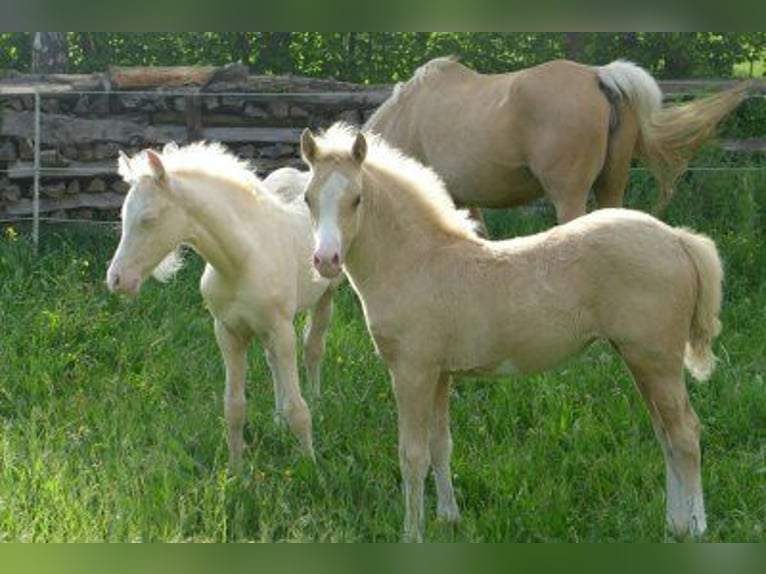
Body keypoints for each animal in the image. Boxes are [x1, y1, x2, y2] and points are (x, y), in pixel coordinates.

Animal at [106, 143, 340, 468]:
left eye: (148, 218)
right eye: (123, 215)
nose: (116, 280)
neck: (241, 260)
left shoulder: (280, 329)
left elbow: (299, 409)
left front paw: (310, 465)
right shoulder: (228, 332)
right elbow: (234, 408)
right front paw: (236, 470)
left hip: (325, 297)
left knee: (313, 348)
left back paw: (317, 405)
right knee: (273, 361)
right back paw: (277, 419)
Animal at [302, 124, 728, 544]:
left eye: (357, 199)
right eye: (308, 198)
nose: (326, 261)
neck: (417, 263)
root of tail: (677, 238)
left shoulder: (412, 372)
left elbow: (412, 455)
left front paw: (412, 535)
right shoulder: (439, 374)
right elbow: (441, 445)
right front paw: (449, 518)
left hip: (656, 359)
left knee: (685, 433)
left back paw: (696, 526)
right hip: (641, 360)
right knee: (665, 434)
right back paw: (674, 525)